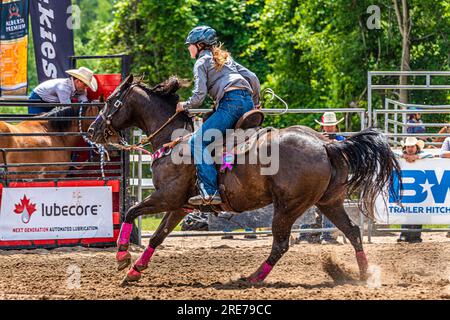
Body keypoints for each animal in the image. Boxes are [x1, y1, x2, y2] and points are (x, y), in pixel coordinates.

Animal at [88, 75, 400, 284]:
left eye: (111, 101)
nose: (92, 130)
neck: (174, 140)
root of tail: (325, 144)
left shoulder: (167, 197)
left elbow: (131, 211)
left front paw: (122, 258)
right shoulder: (180, 205)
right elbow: (157, 236)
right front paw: (133, 271)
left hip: (288, 207)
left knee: (281, 244)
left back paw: (252, 278)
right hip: (329, 202)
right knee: (353, 232)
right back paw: (364, 275)